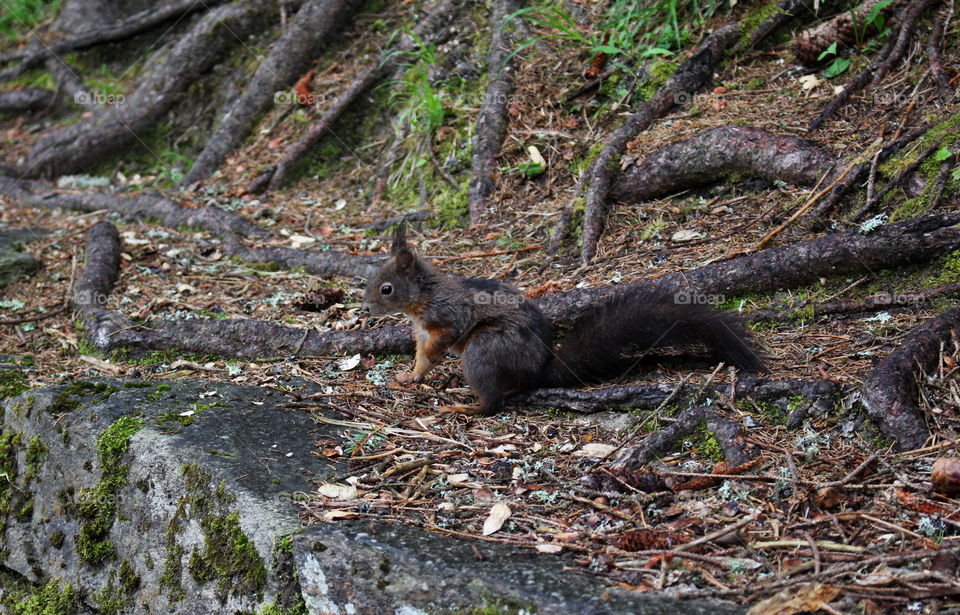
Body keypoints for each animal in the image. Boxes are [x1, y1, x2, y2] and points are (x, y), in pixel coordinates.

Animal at [360, 224, 764, 416]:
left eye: (386, 288)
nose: (365, 309)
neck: (422, 297)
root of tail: (536, 371)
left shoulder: (449, 316)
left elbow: (444, 339)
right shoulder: (419, 331)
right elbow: (421, 358)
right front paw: (408, 377)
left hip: (485, 349)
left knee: (494, 402)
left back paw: (467, 405)